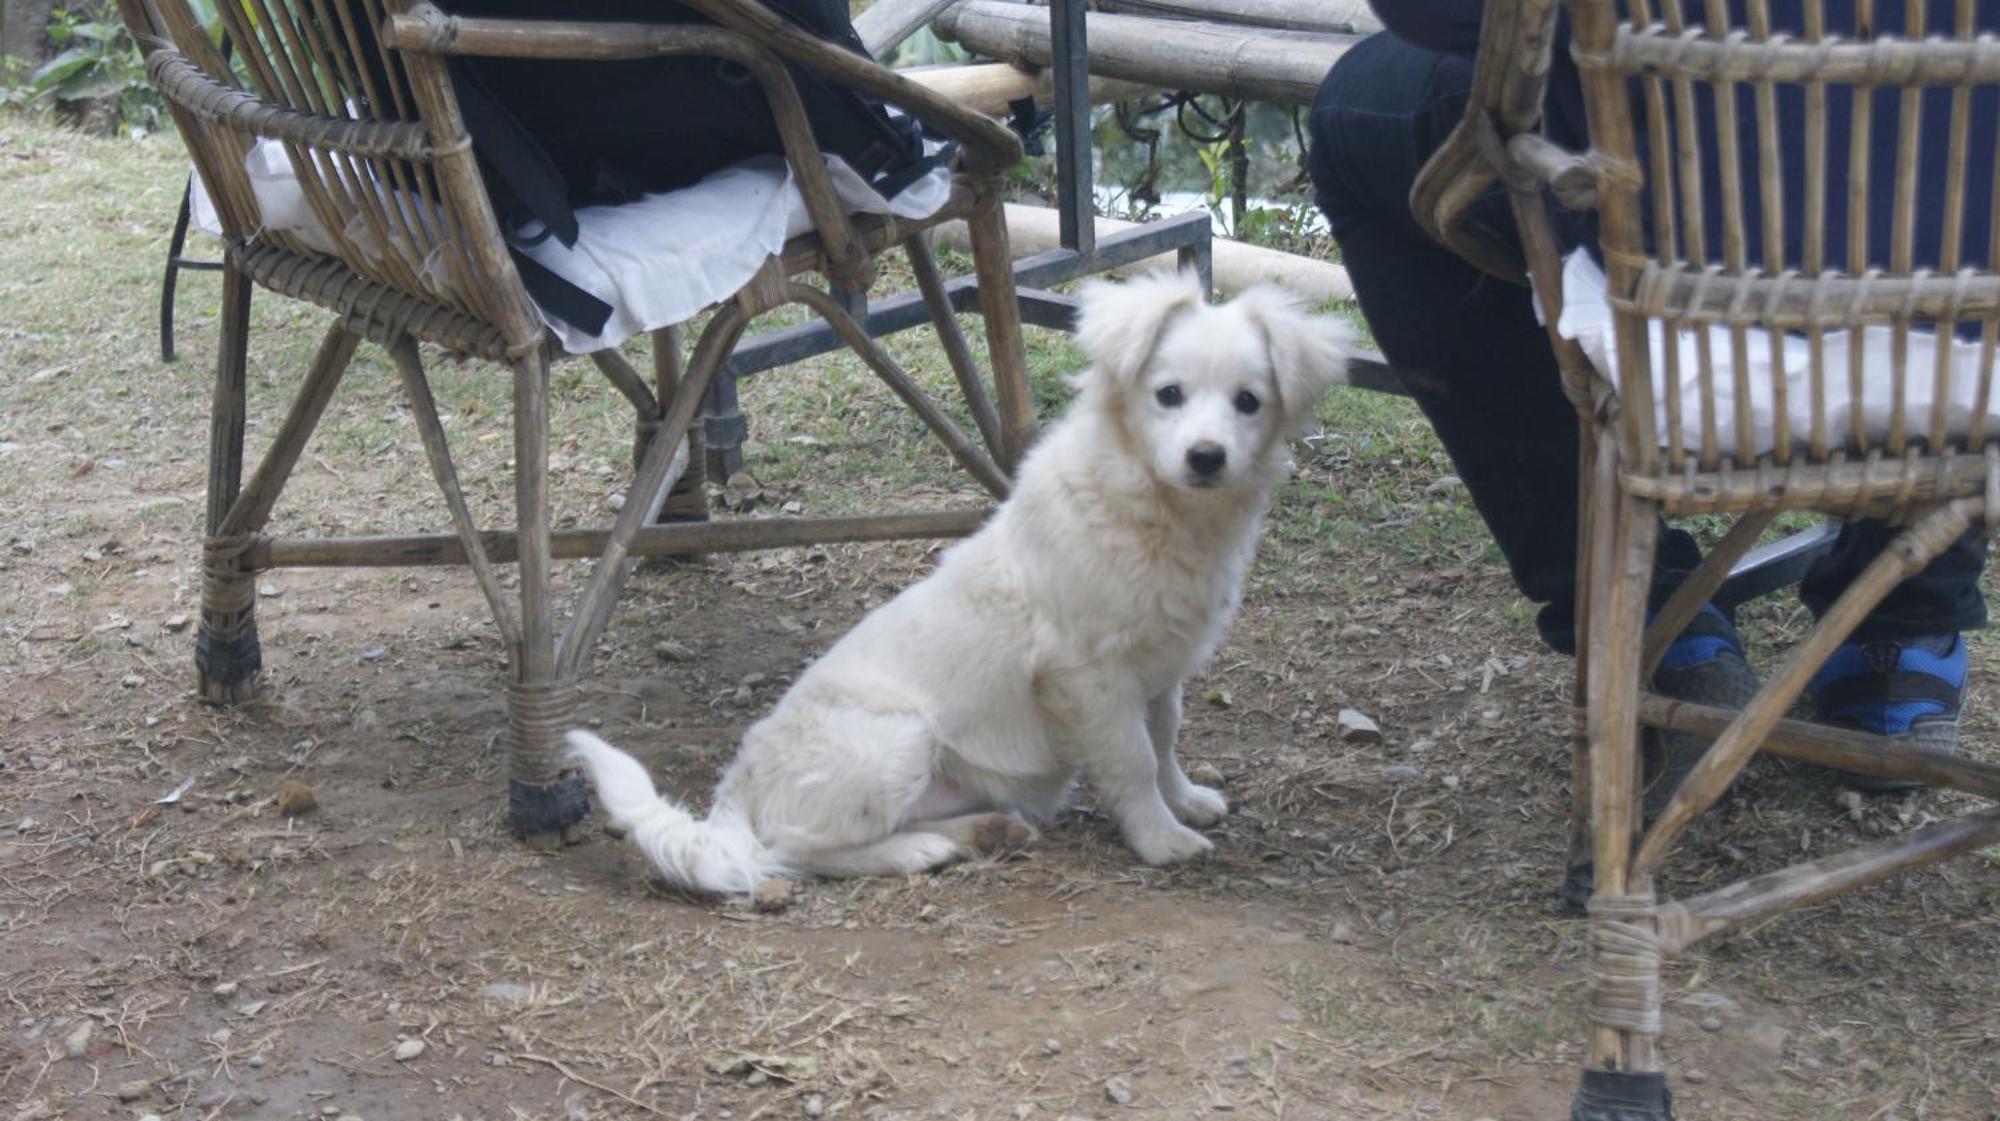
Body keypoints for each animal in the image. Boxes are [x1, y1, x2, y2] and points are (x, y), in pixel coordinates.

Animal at [572, 276, 1352, 896]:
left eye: (1248, 402)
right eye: (1168, 395)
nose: (1206, 457)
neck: (1156, 511)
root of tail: (739, 787)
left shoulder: (1161, 667)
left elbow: (1162, 741)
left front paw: (1184, 799)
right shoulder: (1088, 674)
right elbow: (1131, 759)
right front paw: (1161, 839)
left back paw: (984, 831)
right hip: (900, 738)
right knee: (798, 850)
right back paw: (925, 849)